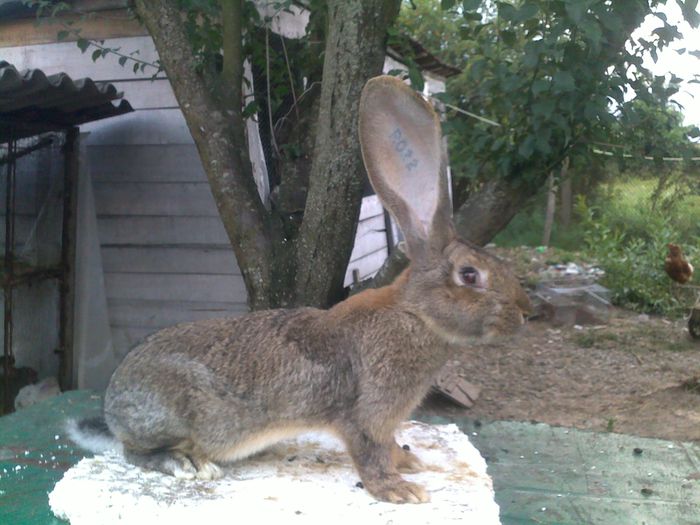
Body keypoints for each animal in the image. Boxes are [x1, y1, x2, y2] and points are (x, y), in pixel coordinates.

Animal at [71, 73, 532, 504]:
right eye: (470, 276)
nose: (525, 312)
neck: (415, 314)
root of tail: (112, 409)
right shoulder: (364, 416)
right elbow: (369, 453)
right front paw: (399, 490)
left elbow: (388, 446)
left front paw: (409, 462)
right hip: (173, 418)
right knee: (135, 453)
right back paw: (187, 464)